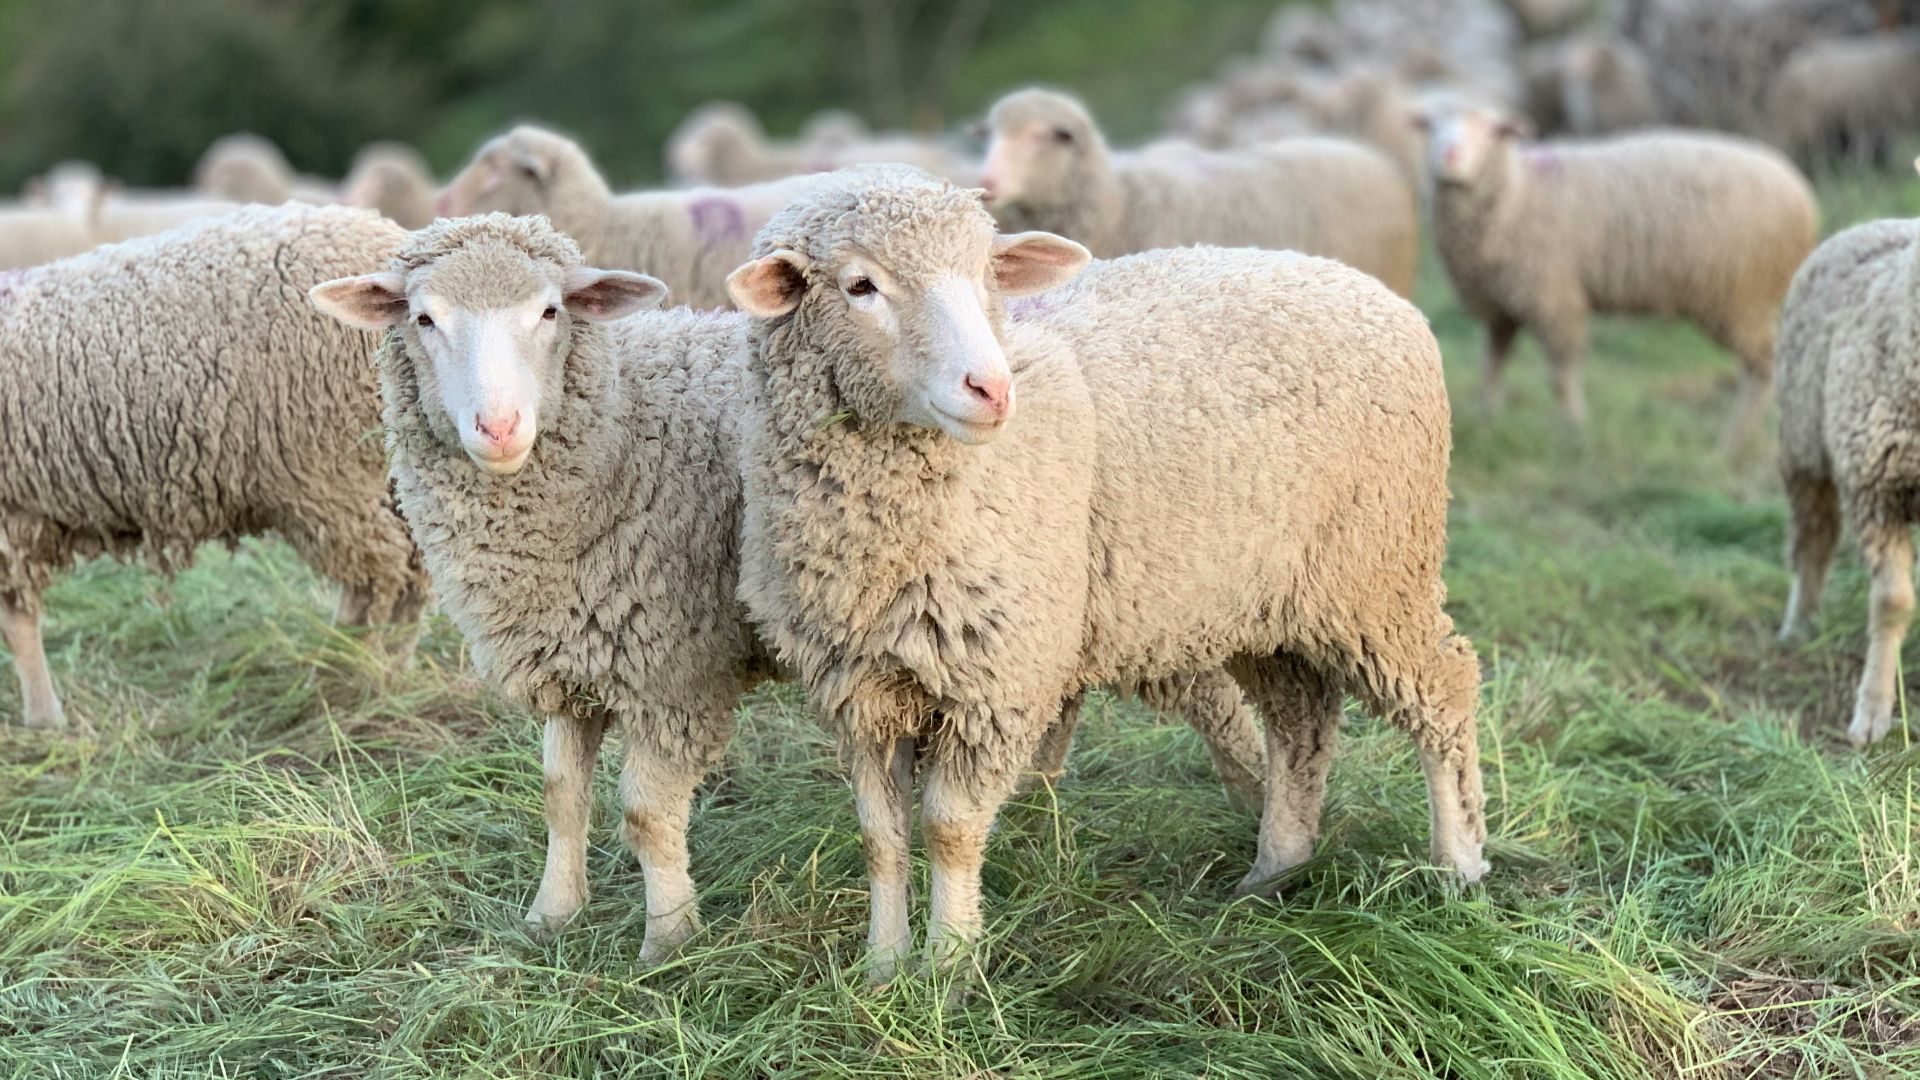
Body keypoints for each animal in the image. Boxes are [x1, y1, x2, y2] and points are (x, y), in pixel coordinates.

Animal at [0, 205, 429, 730]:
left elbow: (17, 624)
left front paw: (43, 718)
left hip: (327, 471)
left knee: (380, 572)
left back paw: (351, 667)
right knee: (411, 568)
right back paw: (384, 662)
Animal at [307, 212, 1269, 963]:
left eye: (549, 312)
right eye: (424, 318)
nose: (499, 427)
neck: (619, 432)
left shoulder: (674, 669)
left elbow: (645, 812)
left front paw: (668, 940)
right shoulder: (569, 656)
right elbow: (559, 794)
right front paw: (552, 915)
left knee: (1222, 707)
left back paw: (1259, 824)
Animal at [728, 167, 1484, 979]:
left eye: (987, 274)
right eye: (860, 286)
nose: (991, 389)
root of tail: (1375, 293)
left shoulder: (999, 679)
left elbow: (950, 831)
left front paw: (950, 970)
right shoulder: (859, 688)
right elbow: (881, 837)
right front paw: (881, 968)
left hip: (1377, 571)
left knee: (1443, 690)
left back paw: (1458, 867)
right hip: (1267, 597)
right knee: (1300, 721)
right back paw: (1275, 869)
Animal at [1417, 102, 1818, 448]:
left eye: (1490, 129)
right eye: (1432, 127)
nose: (1449, 155)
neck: (1517, 193)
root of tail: (1800, 192)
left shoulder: (1554, 297)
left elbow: (1561, 377)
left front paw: (1575, 431)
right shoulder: (1501, 308)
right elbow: (1491, 367)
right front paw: (1486, 422)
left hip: (1739, 296)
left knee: (1762, 367)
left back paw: (1731, 443)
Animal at [1775, 204, 1920, 746]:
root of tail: (1877, 220)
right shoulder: (1873, 489)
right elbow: (1893, 603)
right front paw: (1872, 713)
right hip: (1803, 449)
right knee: (1811, 541)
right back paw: (1799, 624)